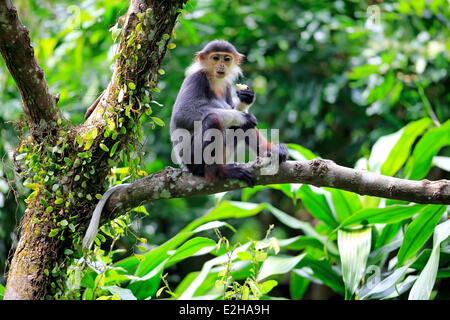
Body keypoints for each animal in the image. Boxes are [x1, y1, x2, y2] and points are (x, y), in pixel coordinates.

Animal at [169, 39, 288, 186]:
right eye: (215, 58)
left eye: (226, 59)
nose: (221, 65)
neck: (214, 80)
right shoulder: (197, 78)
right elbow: (182, 114)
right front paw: (241, 117)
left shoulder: (226, 86)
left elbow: (235, 110)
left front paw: (246, 98)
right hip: (192, 158)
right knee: (213, 119)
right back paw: (221, 173)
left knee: (242, 127)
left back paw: (273, 152)